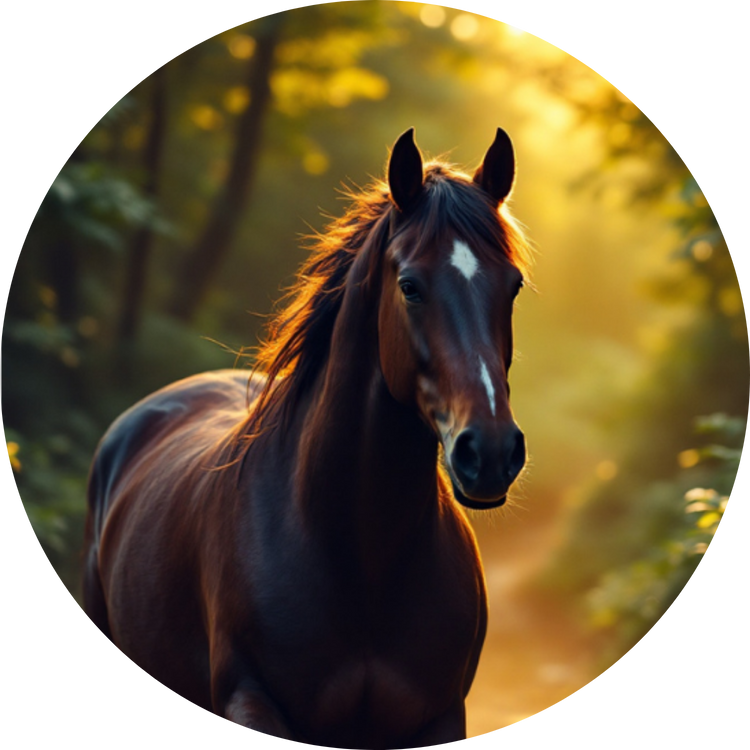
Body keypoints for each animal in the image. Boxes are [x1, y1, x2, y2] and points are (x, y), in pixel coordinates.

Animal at [82, 127, 532, 748]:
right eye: (410, 287)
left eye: (512, 286)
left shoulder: (440, 718)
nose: (488, 453)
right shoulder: (252, 700)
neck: (357, 552)